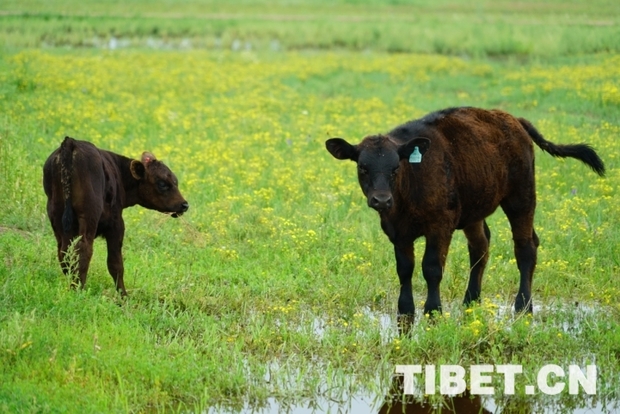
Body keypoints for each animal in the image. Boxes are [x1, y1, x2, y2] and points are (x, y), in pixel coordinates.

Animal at [42, 137, 188, 296]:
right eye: (162, 183)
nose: (184, 205)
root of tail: (71, 142)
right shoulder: (116, 224)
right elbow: (116, 263)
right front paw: (123, 296)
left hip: (57, 217)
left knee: (64, 251)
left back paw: (73, 286)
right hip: (89, 215)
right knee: (83, 249)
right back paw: (80, 291)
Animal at [326, 106, 604, 316]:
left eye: (396, 167)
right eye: (362, 167)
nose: (381, 200)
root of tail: (513, 119)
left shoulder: (440, 227)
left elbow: (431, 268)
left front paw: (433, 309)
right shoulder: (398, 232)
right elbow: (405, 269)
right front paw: (405, 309)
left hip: (521, 197)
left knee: (525, 247)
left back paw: (523, 304)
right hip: (474, 213)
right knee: (481, 246)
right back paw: (471, 299)